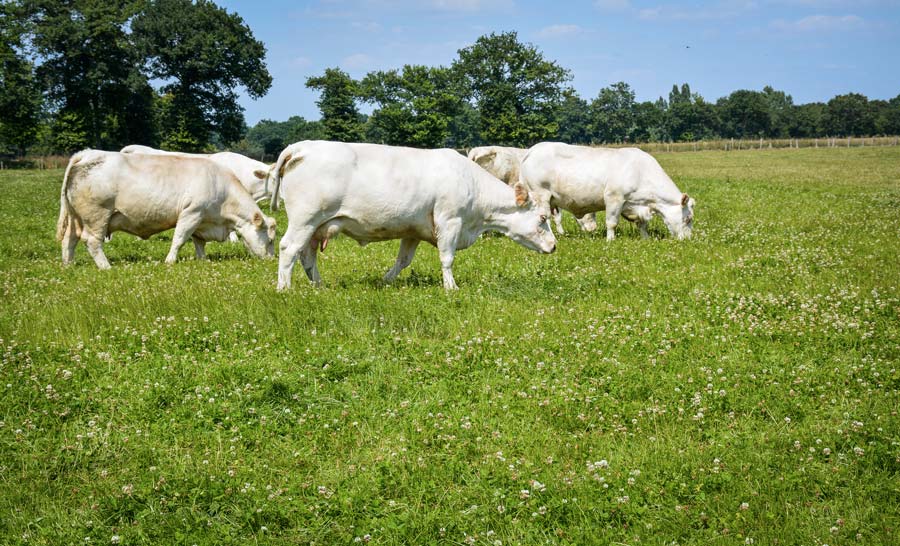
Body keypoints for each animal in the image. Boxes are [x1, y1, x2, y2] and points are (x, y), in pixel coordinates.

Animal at [270, 142, 560, 292]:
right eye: (542, 218)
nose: (554, 245)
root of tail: (301, 147)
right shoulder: (450, 221)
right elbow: (447, 258)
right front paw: (451, 287)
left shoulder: (413, 230)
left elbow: (403, 261)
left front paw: (385, 281)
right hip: (304, 219)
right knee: (289, 249)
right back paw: (284, 288)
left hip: (316, 225)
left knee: (307, 255)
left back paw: (318, 285)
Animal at [520, 142, 696, 240]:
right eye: (688, 219)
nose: (688, 239)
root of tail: (533, 150)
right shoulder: (614, 198)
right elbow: (612, 222)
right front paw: (610, 240)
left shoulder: (635, 205)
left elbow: (642, 223)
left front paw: (646, 239)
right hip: (540, 194)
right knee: (544, 217)